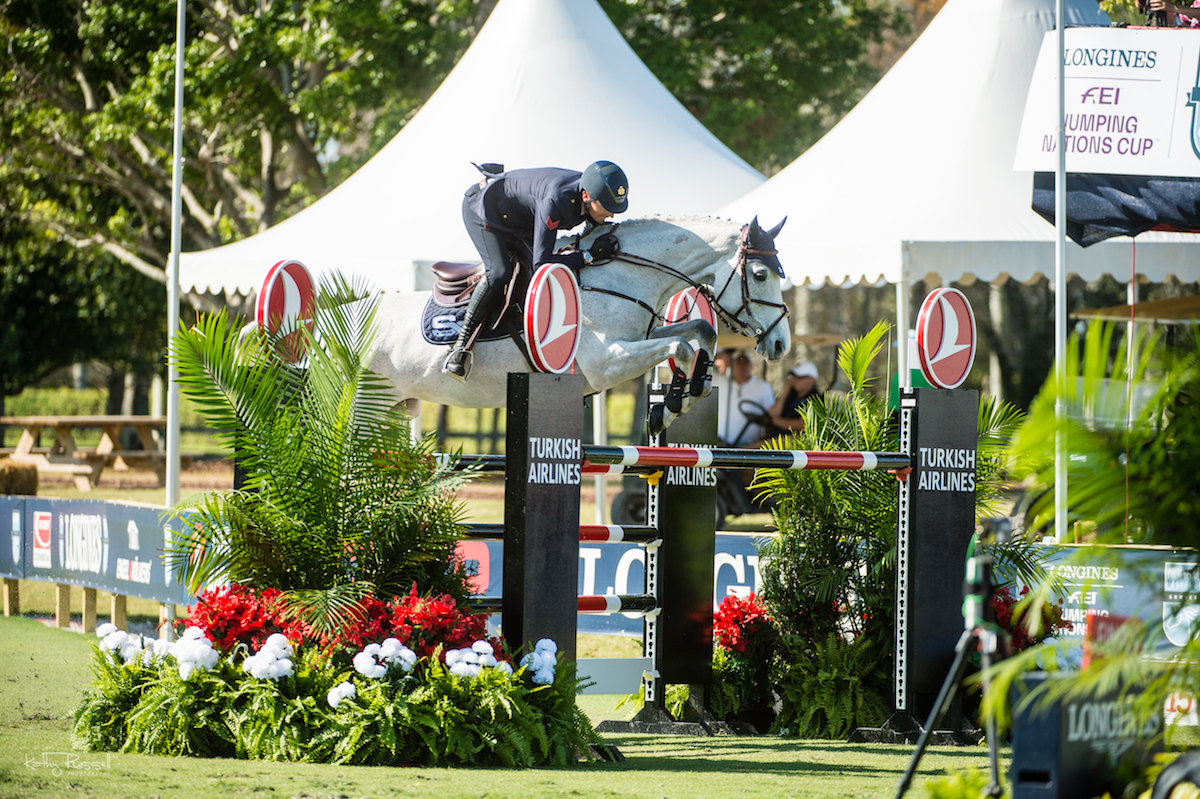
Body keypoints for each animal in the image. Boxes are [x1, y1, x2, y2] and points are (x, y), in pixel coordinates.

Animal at [369, 213, 792, 429]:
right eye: (759, 275)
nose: (781, 345)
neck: (618, 272)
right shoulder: (607, 362)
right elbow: (681, 346)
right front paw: (672, 402)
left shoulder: (642, 336)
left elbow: (699, 330)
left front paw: (694, 389)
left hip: (398, 408)